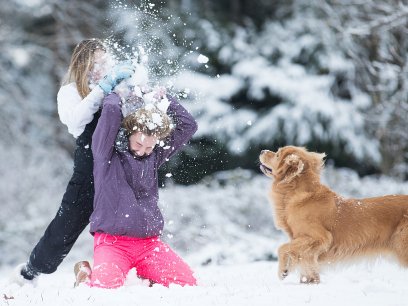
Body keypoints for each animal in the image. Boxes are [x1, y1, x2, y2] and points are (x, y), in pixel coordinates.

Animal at [258, 146, 408, 284]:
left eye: (277, 154)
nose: (262, 151)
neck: (298, 193)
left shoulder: (320, 237)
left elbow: (283, 247)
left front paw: (283, 271)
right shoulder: (307, 246)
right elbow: (306, 265)